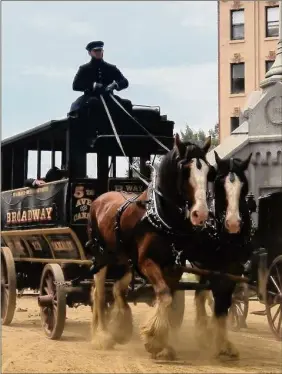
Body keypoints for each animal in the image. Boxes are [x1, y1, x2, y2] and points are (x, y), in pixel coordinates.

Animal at [87, 134, 213, 360]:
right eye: (186, 170)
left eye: (208, 172)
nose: (201, 214)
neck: (161, 217)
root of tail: (99, 199)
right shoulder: (147, 262)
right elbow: (164, 295)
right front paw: (154, 339)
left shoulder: (173, 267)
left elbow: (168, 298)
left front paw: (165, 345)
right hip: (101, 258)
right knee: (99, 294)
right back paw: (102, 336)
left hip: (125, 261)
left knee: (118, 289)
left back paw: (120, 327)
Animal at [193, 152, 252, 360]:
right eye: (219, 182)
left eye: (244, 185)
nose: (233, 223)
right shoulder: (212, 268)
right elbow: (217, 299)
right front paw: (216, 341)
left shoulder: (234, 269)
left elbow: (224, 302)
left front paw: (224, 342)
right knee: (200, 294)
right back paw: (202, 331)